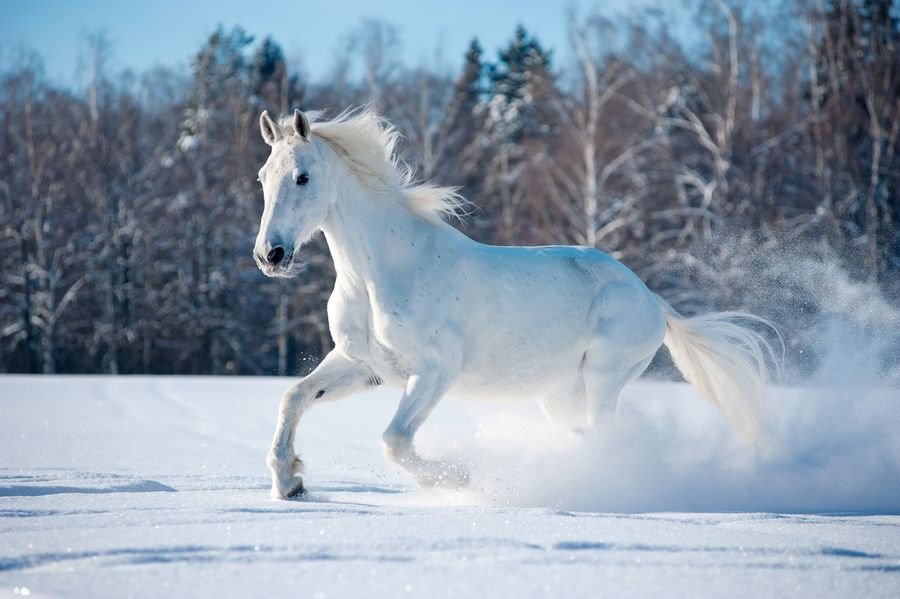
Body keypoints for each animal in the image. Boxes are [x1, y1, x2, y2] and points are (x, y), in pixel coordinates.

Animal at [255, 109, 780, 502]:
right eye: (263, 177)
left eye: (302, 177)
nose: (270, 255)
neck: (381, 272)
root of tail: (651, 299)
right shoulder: (361, 364)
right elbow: (293, 397)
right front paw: (291, 482)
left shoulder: (435, 372)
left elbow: (395, 441)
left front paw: (459, 478)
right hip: (558, 392)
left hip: (604, 377)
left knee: (602, 436)